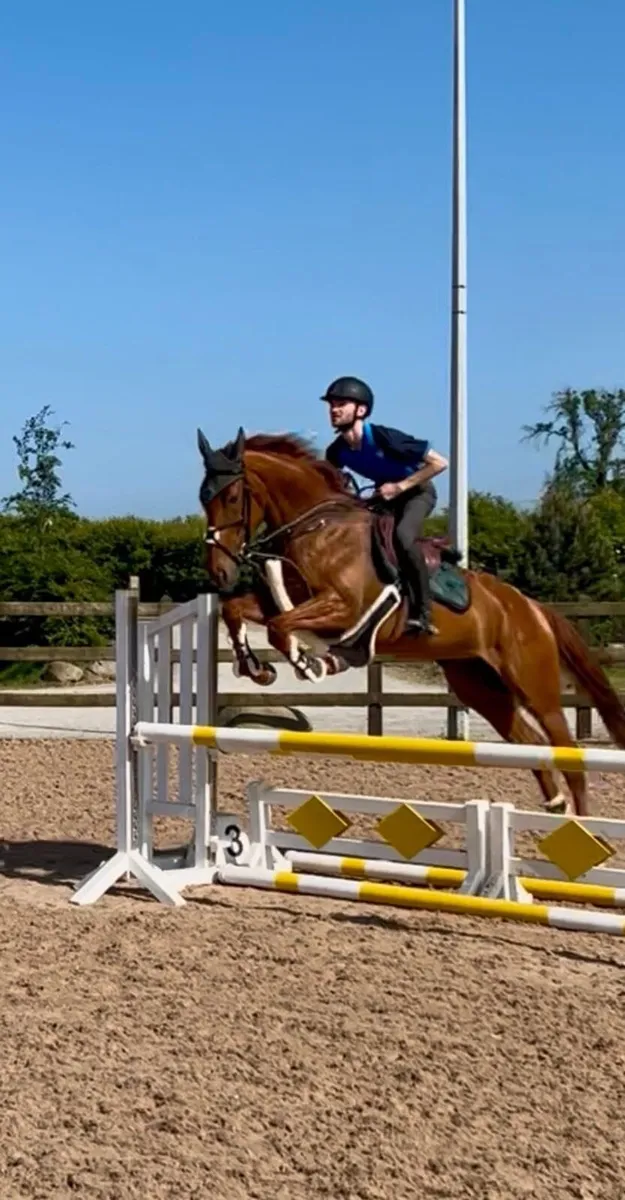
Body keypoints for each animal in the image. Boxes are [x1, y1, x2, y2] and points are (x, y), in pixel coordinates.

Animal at [196, 425, 625, 816]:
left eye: (232, 496)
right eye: (204, 497)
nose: (219, 572)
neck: (316, 526)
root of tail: (532, 608)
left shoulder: (343, 607)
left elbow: (280, 628)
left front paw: (311, 662)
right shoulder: (286, 599)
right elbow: (240, 611)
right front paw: (257, 668)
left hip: (534, 685)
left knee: (567, 751)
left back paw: (581, 825)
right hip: (478, 684)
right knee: (530, 743)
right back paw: (554, 807)